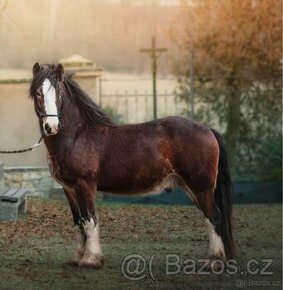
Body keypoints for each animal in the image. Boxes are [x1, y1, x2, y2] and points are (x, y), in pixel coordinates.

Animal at [30, 62, 235, 268]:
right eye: (38, 93)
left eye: (59, 92)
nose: (51, 126)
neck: (77, 136)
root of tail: (208, 129)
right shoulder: (69, 189)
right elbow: (79, 221)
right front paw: (78, 257)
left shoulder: (84, 185)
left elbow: (90, 220)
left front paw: (91, 259)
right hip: (192, 188)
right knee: (210, 218)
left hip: (201, 188)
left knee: (214, 217)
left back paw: (214, 261)